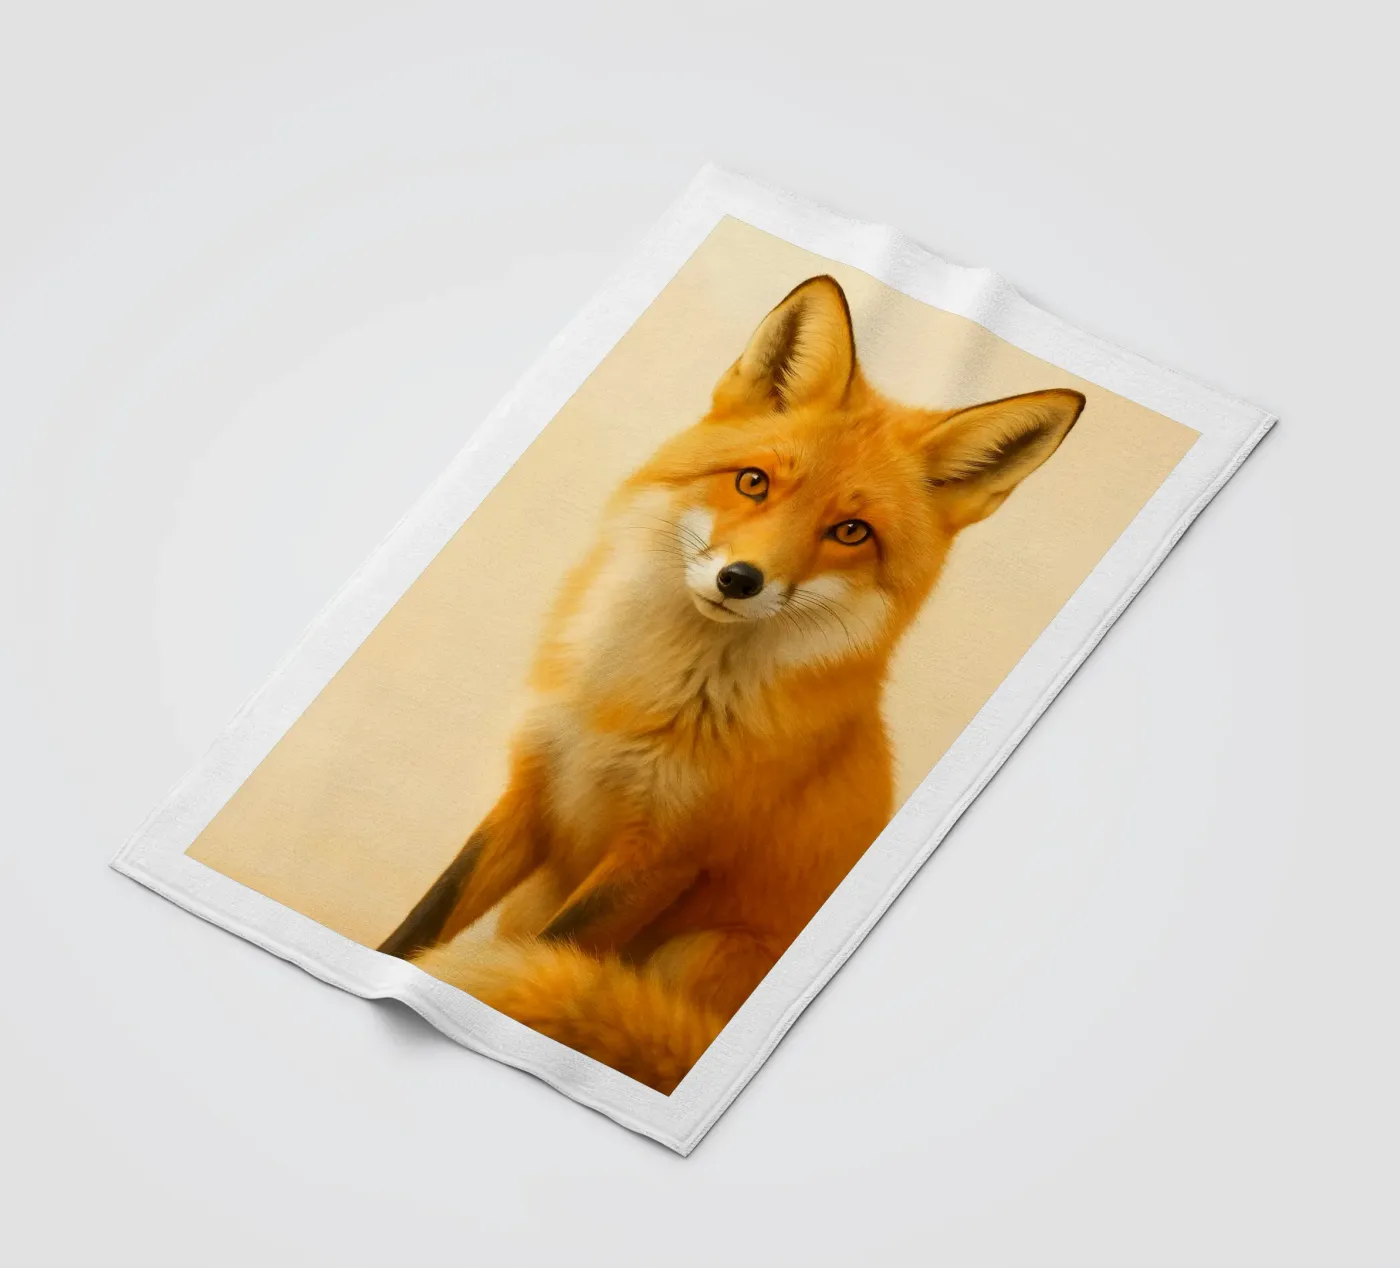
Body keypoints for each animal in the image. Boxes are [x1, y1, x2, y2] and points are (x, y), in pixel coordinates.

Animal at [379, 274, 1084, 1093]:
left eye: (851, 532)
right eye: (754, 482)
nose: (739, 580)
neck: (641, 694)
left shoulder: (665, 857)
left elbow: (537, 956)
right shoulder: (534, 789)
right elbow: (421, 926)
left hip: (696, 949)